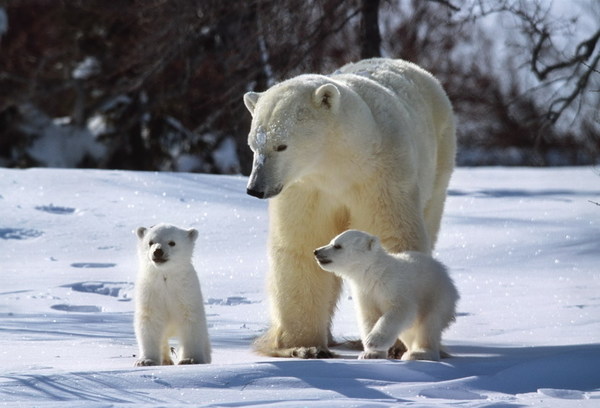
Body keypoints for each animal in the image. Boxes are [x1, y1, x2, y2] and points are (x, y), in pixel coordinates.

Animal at [134, 225, 211, 364]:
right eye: (150, 242)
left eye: (172, 242)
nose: (158, 251)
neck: (166, 277)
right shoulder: (150, 291)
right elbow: (149, 321)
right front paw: (145, 361)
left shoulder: (186, 292)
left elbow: (191, 321)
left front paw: (190, 359)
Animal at [314, 230, 460, 360]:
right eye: (331, 241)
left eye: (337, 246)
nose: (316, 251)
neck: (375, 273)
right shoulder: (365, 293)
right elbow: (369, 317)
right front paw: (370, 354)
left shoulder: (395, 286)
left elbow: (400, 310)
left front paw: (373, 340)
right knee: (409, 331)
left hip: (437, 295)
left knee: (429, 325)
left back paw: (419, 353)